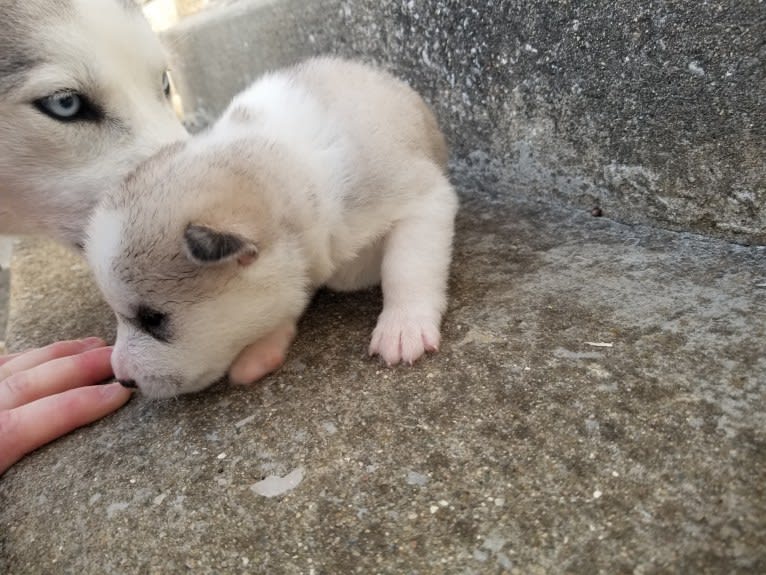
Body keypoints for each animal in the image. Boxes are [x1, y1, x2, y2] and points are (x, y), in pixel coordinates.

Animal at [87, 58, 460, 400]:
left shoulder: (423, 199)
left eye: (153, 319)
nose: (122, 378)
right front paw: (262, 347)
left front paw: (403, 327)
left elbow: (406, 268)